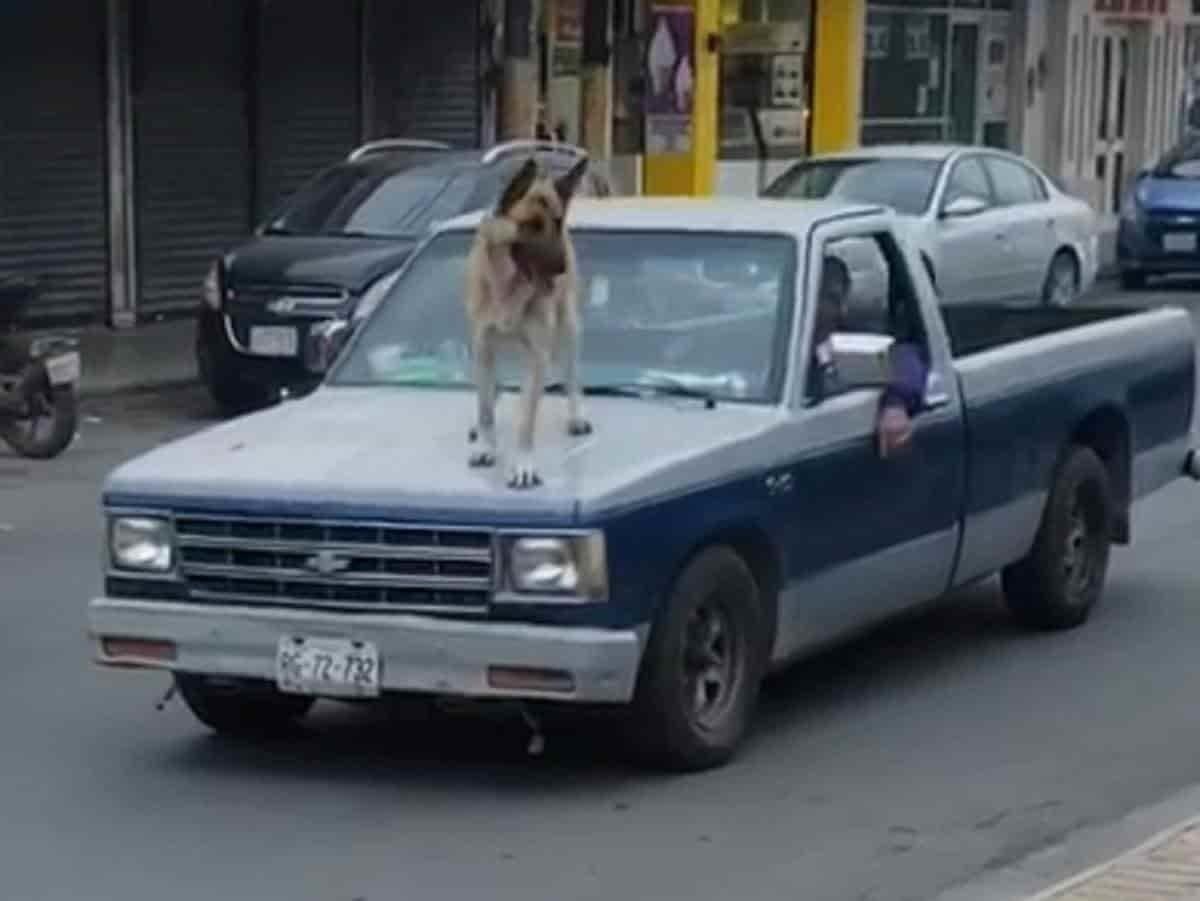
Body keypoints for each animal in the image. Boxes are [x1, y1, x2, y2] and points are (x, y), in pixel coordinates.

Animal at [463, 157, 590, 489]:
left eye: (557, 221)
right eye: (530, 225)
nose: (561, 269)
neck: (508, 288)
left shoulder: (536, 355)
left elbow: (526, 419)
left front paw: (523, 465)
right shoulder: (482, 347)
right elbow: (485, 408)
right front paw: (486, 446)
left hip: (568, 330)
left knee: (572, 375)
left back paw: (576, 415)